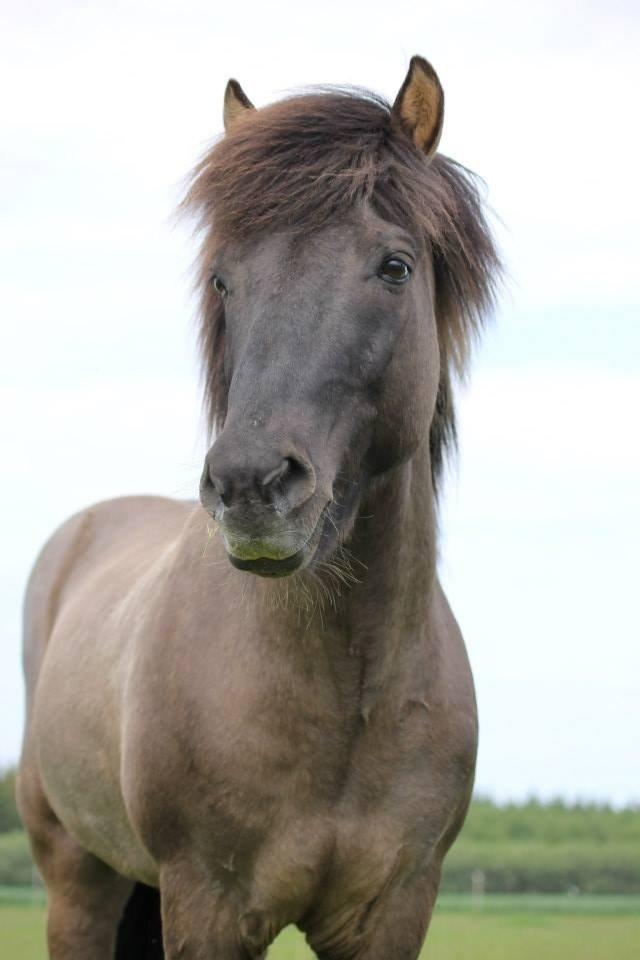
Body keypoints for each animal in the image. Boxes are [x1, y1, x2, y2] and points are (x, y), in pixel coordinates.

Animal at [16, 56, 500, 956]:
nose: (250, 487)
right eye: (222, 277)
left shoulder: (395, 910)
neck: (346, 691)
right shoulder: (206, 905)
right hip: (76, 877)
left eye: (394, 266)